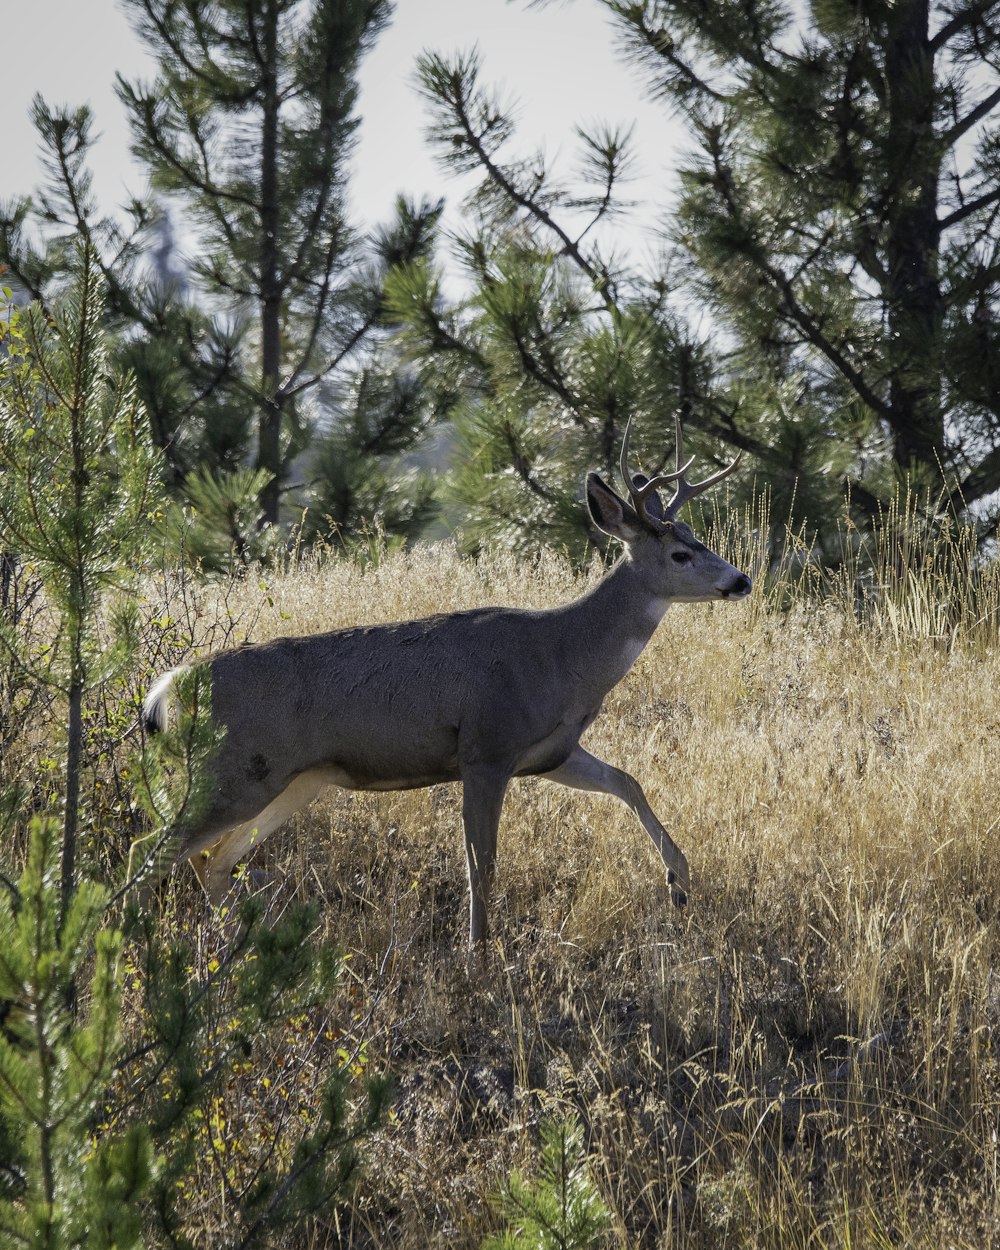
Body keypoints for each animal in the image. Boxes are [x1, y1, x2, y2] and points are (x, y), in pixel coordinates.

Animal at [140, 420, 750, 945]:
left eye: (697, 538)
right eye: (680, 553)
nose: (740, 580)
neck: (561, 656)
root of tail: (166, 689)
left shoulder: (548, 752)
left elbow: (628, 781)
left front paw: (679, 881)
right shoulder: (486, 747)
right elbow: (482, 863)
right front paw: (479, 952)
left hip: (292, 779)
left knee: (213, 861)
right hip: (232, 772)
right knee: (154, 852)